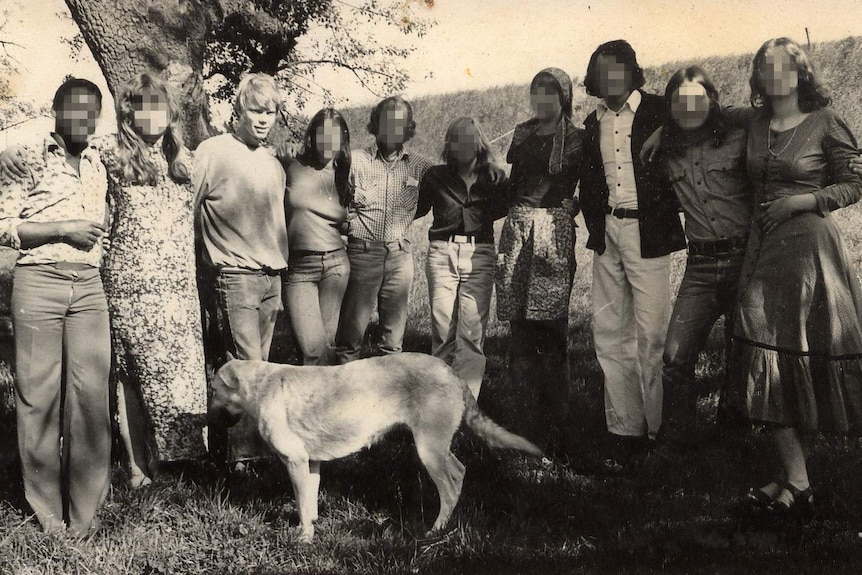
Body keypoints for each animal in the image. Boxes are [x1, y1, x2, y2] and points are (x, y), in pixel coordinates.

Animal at [210, 352, 544, 544]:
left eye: (215, 390)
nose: (209, 417)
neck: (261, 384)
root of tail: (448, 369)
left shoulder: (295, 460)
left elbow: (302, 506)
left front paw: (304, 538)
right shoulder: (310, 463)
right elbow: (310, 502)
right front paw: (313, 527)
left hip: (429, 449)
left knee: (452, 482)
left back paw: (435, 531)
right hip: (434, 446)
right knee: (460, 473)